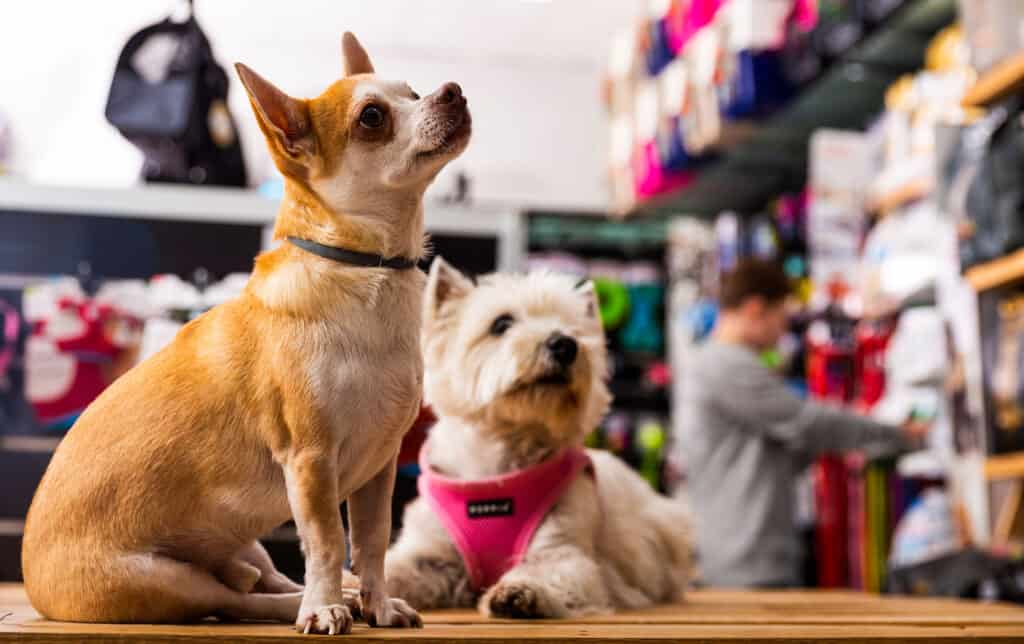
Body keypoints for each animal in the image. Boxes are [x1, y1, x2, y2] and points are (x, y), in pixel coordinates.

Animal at [385, 260, 696, 618]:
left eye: (573, 328)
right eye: (501, 323)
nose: (565, 344)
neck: (499, 466)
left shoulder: (563, 548)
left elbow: (547, 569)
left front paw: (518, 592)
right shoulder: (430, 552)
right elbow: (394, 567)